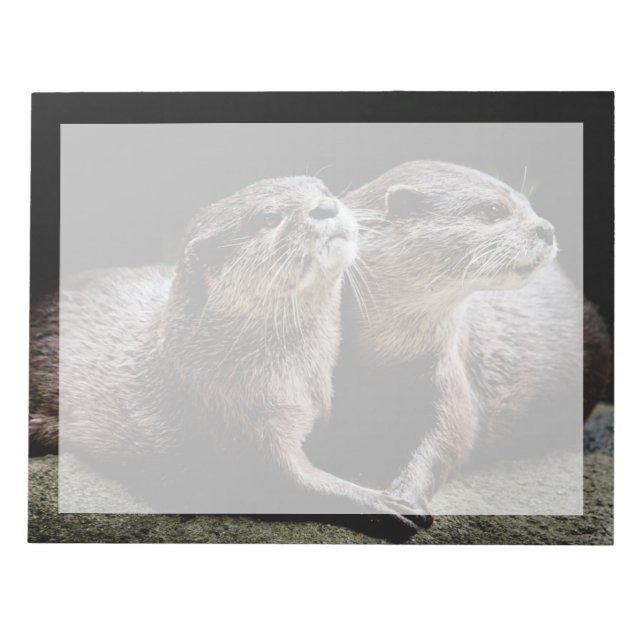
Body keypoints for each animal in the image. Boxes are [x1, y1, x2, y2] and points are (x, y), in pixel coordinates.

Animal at [29, 176, 422, 519]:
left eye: (323, 190)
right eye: (269, 218)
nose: (326, 206)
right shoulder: (239, 416)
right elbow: (284, 480)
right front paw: (381, 501)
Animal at [307, 160, 610, 512]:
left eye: (528, 204)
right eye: (493, 210)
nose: (546, 229)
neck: (380, 358)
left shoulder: (446, 369)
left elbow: (450, 439)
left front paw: (406, 495)